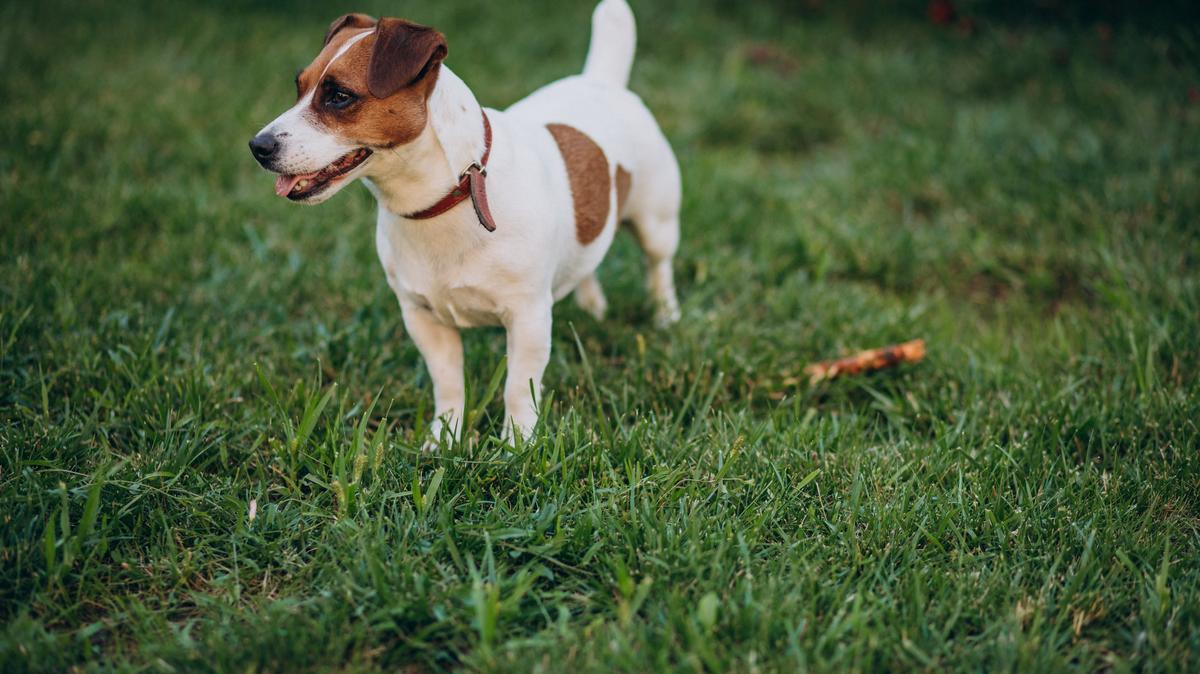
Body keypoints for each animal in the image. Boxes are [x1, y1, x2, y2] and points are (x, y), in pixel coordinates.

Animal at [248, 1, 681, 446]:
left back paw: (665, 315)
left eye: (338, 96)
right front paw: (444, 437)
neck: (442, 200)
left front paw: (516, 445)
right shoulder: (423, 317)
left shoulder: (528, 318)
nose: (257, 146)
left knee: (658, 265)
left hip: (657, 221)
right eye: (299, 87)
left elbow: (518, 388)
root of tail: (599, 80)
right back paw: (593, 305)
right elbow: (448, 383)